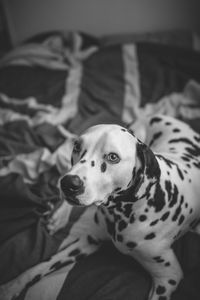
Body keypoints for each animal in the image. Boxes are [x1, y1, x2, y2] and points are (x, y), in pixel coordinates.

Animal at [0, 113, 200, 298]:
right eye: (77, 147)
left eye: (112, 157)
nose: (68, 184)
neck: (123, 213)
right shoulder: (88, 240)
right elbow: (40, 266)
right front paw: (11, 287)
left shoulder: (168, 278)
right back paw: (58, 218)